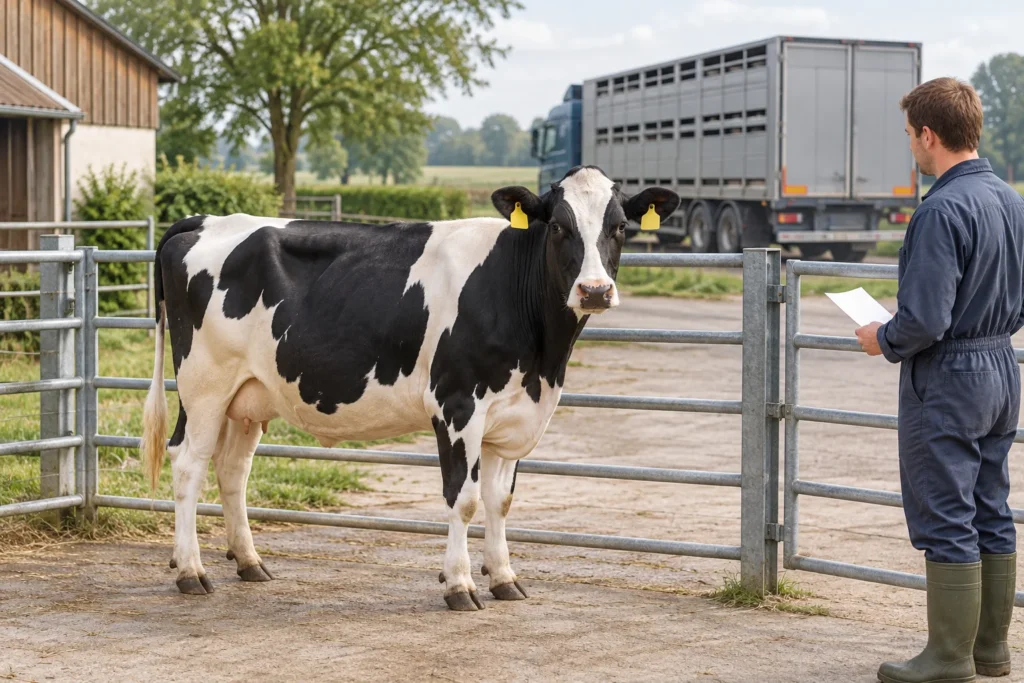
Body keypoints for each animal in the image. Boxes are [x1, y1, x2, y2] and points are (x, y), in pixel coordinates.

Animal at [141, 165, 680, 610]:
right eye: (557, 227)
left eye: (620, 227)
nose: (595, 290)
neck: (542, 360)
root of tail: (204, 221)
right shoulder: (458, 405)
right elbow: (464, 498)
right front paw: (459, 584)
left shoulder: (511, 414)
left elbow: (499, 501)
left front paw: (504, 578)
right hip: (204, 385)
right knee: (188, 464)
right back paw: (191, 571)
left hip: (248, 395)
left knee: (233, 469)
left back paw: (250, 562)